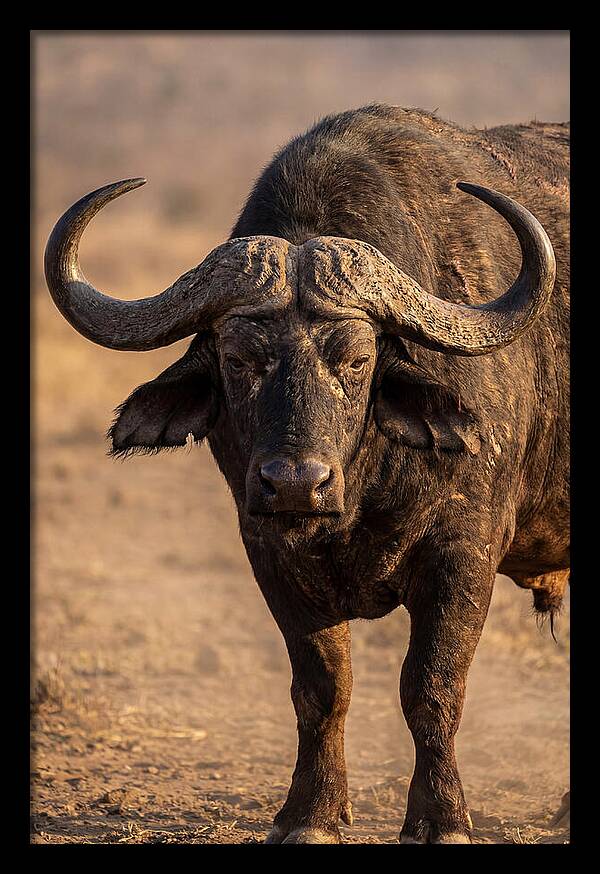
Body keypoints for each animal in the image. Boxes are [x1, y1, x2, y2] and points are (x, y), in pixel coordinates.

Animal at [44, 105, 569, 844]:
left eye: (356, 359)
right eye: (238, 358)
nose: (295, 482)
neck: (360, 492)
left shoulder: (462, 553)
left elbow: (432, 687)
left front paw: (441, 818)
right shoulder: (268, 552)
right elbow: (322, 688)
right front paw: (312, 814)